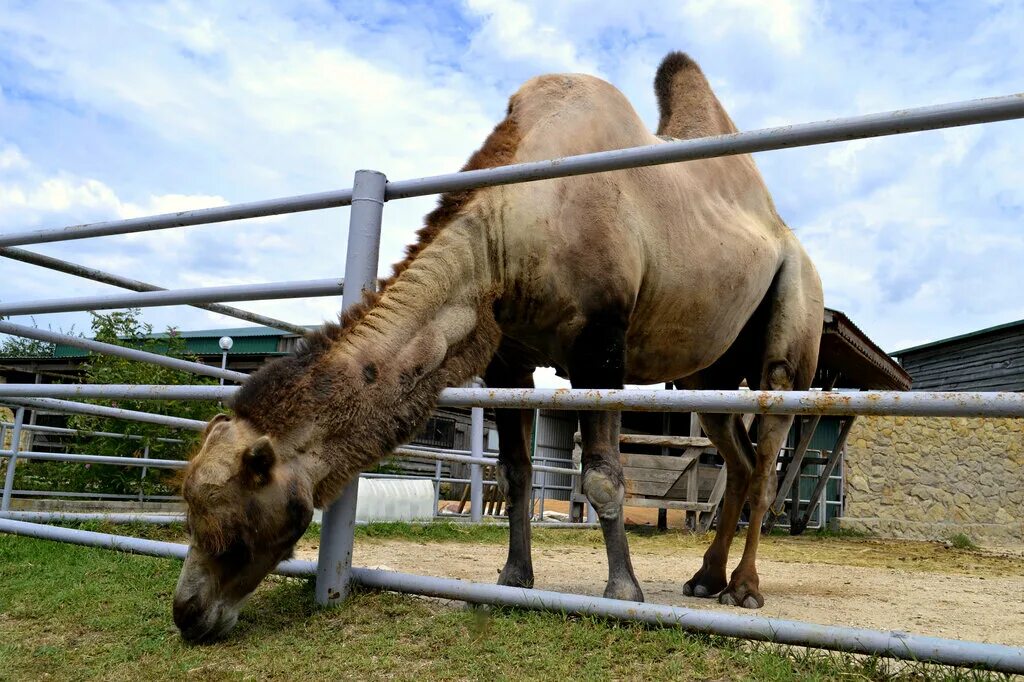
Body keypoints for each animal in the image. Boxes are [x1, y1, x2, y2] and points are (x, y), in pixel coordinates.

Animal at [172, 50, 819, 638]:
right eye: (189, 513)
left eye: (234, 530)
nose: (188, 614)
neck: (508, 229)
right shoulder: (509, 355)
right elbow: (512, 472)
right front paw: (513, 579)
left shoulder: (601, 344)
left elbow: (602, 476)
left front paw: (623, 591)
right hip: (707, 372)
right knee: (736, 455)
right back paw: (705, 579)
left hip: (794, 323)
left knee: (767, 452)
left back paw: (744, 588)